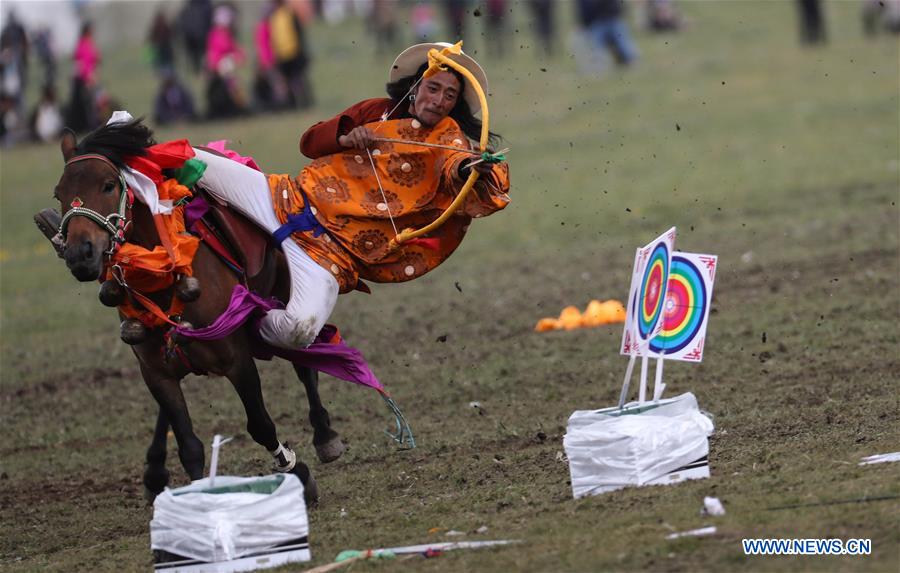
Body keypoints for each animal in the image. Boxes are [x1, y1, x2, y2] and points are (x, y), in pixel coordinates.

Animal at [49, 118, 344, 502]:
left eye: (108, 184)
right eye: (59, 193)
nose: (79, 254)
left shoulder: (236, 359)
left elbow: (260, 424)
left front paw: (298, 472)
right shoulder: (155, 370)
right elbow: (189, 444)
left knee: (304, 365)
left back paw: (325, 435)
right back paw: (154, 470)